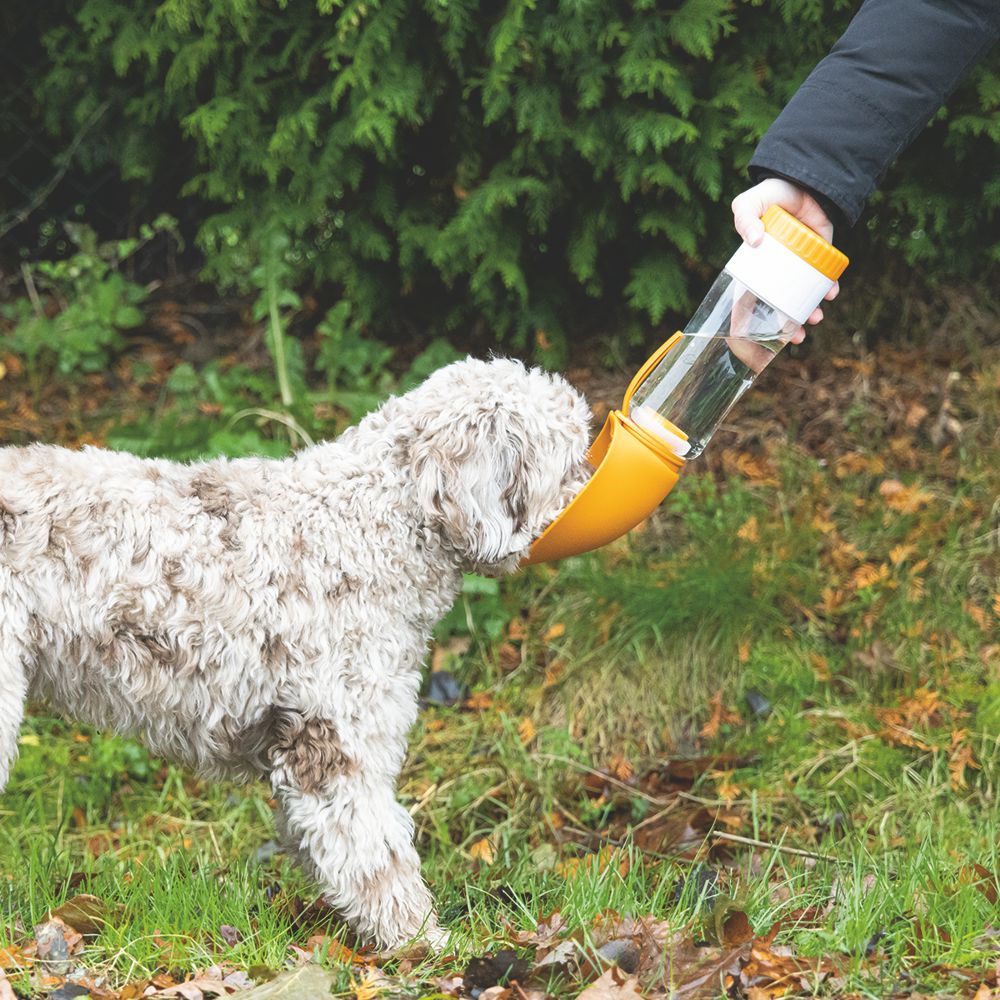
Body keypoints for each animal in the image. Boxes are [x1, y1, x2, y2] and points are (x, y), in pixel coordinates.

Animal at [0, 356, 592, 948]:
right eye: (569, 458)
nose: (593, 483)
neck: (378, 520)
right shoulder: (336, 741)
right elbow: (374, 852)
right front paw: (422, 941)